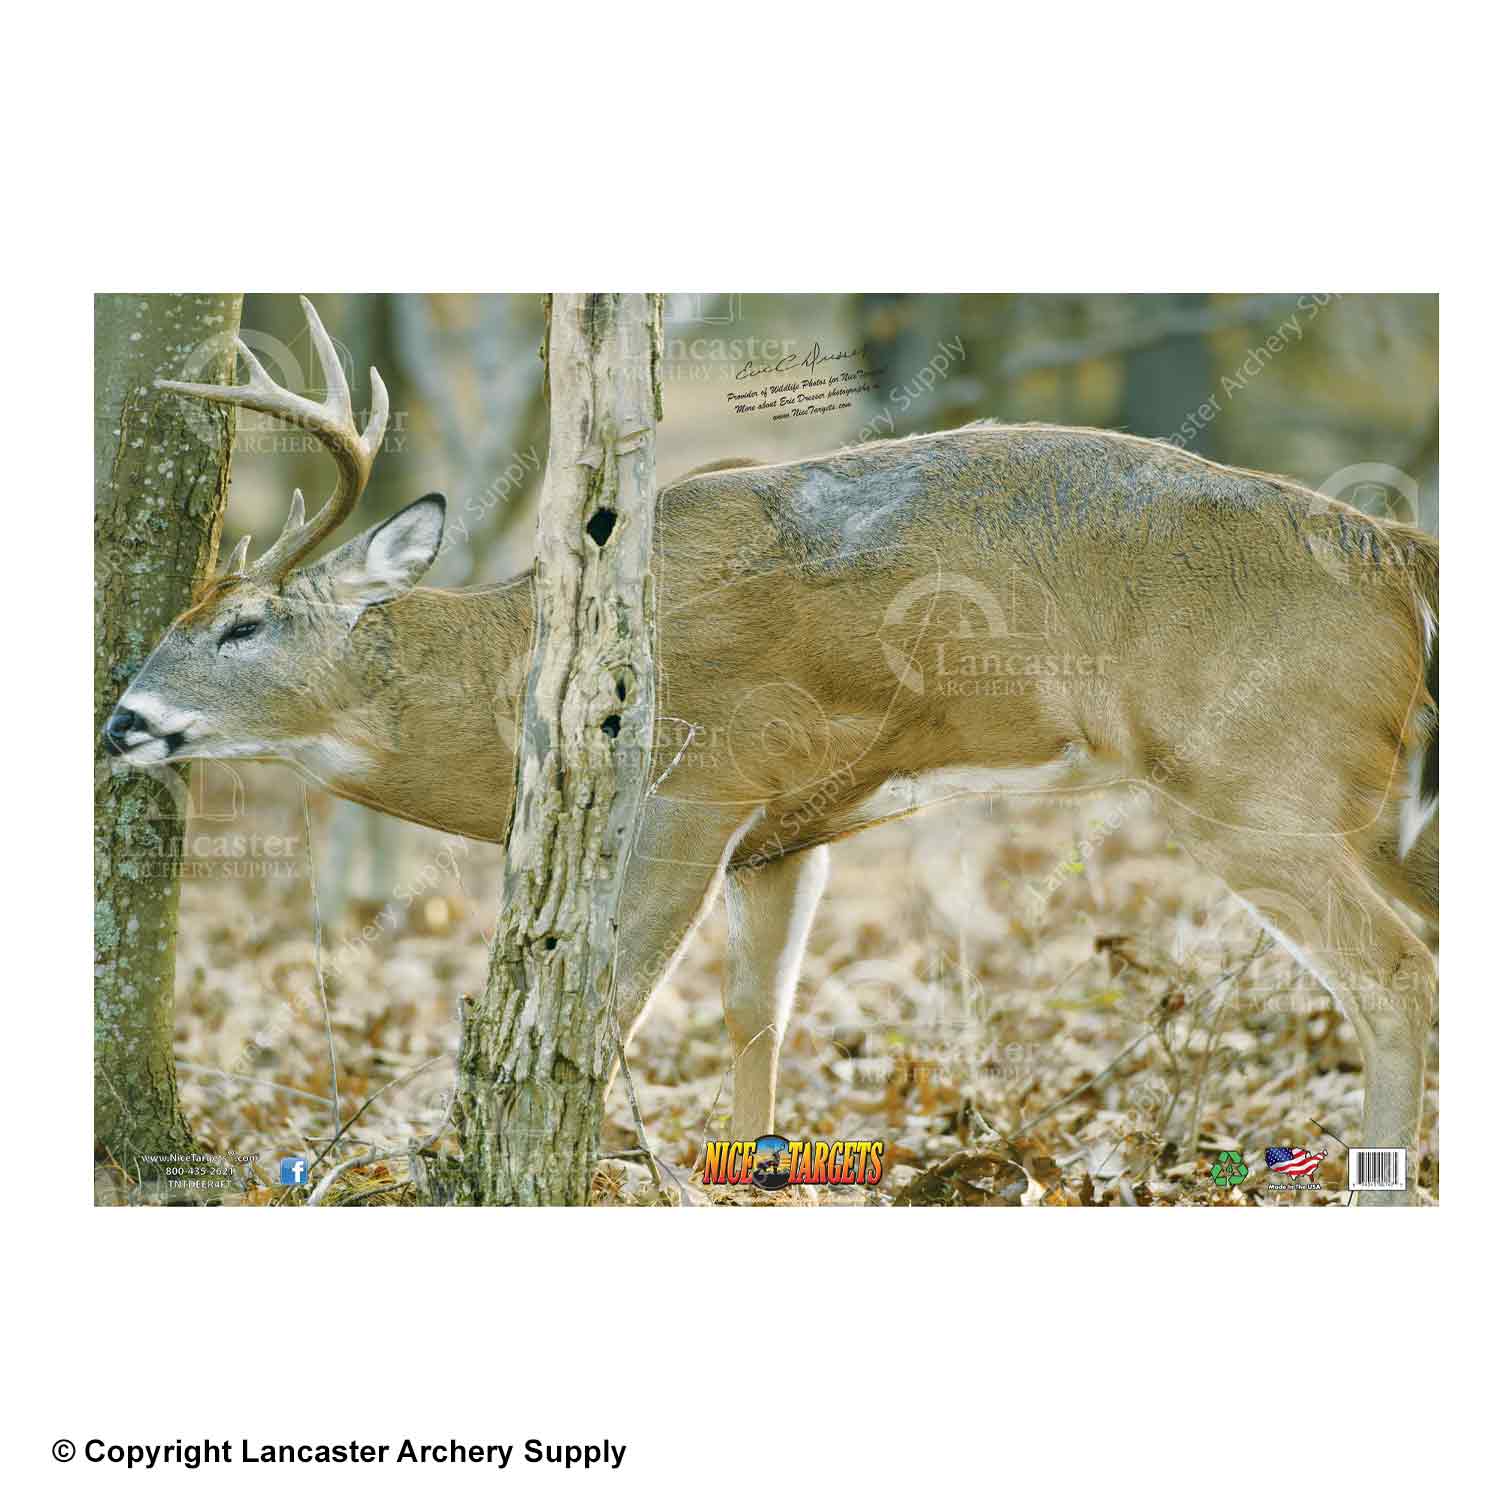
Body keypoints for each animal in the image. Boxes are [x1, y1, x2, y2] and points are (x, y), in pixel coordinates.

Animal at [103, 299, 1438, 1203]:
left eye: (241, 624)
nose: (121, 720)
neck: (520, 665)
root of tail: (1393, 552)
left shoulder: (703, 781)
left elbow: (615, 1004)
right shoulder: (791, 832)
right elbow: (761, 1015)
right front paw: (752, 1175)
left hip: (1256, 783)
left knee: (1395, 977)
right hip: (1384, 804)